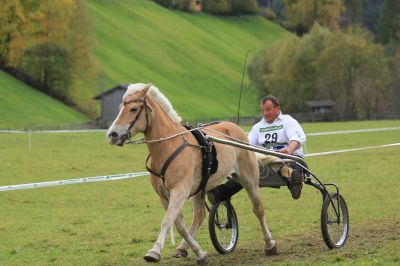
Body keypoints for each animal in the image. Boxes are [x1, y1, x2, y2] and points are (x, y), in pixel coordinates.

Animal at [105, 83, 276, 264]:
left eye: (133, 109)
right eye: (120, 108)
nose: (112, 135)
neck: (170, 145)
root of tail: (234, 127)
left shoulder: (179, 191)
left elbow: (167, 221)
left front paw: (154, 251)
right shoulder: (165, 196)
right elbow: (179, 226)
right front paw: (199, 253)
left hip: (249, 179)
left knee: (258, 209)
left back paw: (269, 244)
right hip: (200, 189)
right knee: (199, 216)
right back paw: (183, 248)